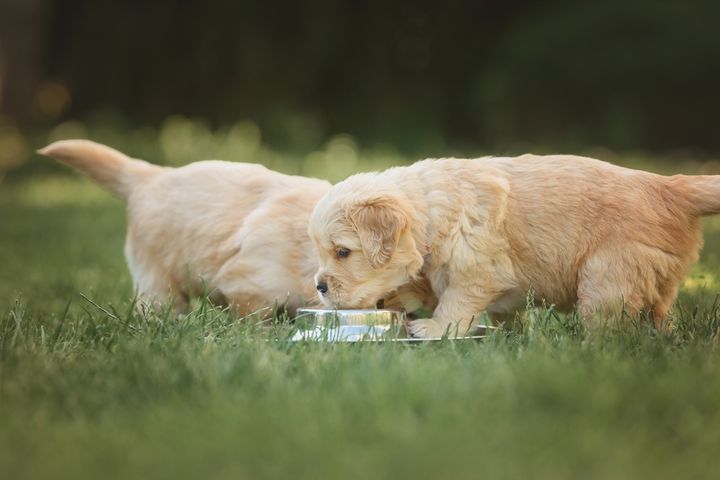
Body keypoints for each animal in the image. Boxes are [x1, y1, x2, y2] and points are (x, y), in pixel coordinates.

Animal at [308, 155, 720, 338]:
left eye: (343, 252)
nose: (320, 286)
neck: (431, 207)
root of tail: (668, 186)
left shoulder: (478, 271)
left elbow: (455, 303)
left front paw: (433, 329)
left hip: (606, 276)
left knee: (608, 327)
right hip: (652, 274)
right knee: (659, 315)